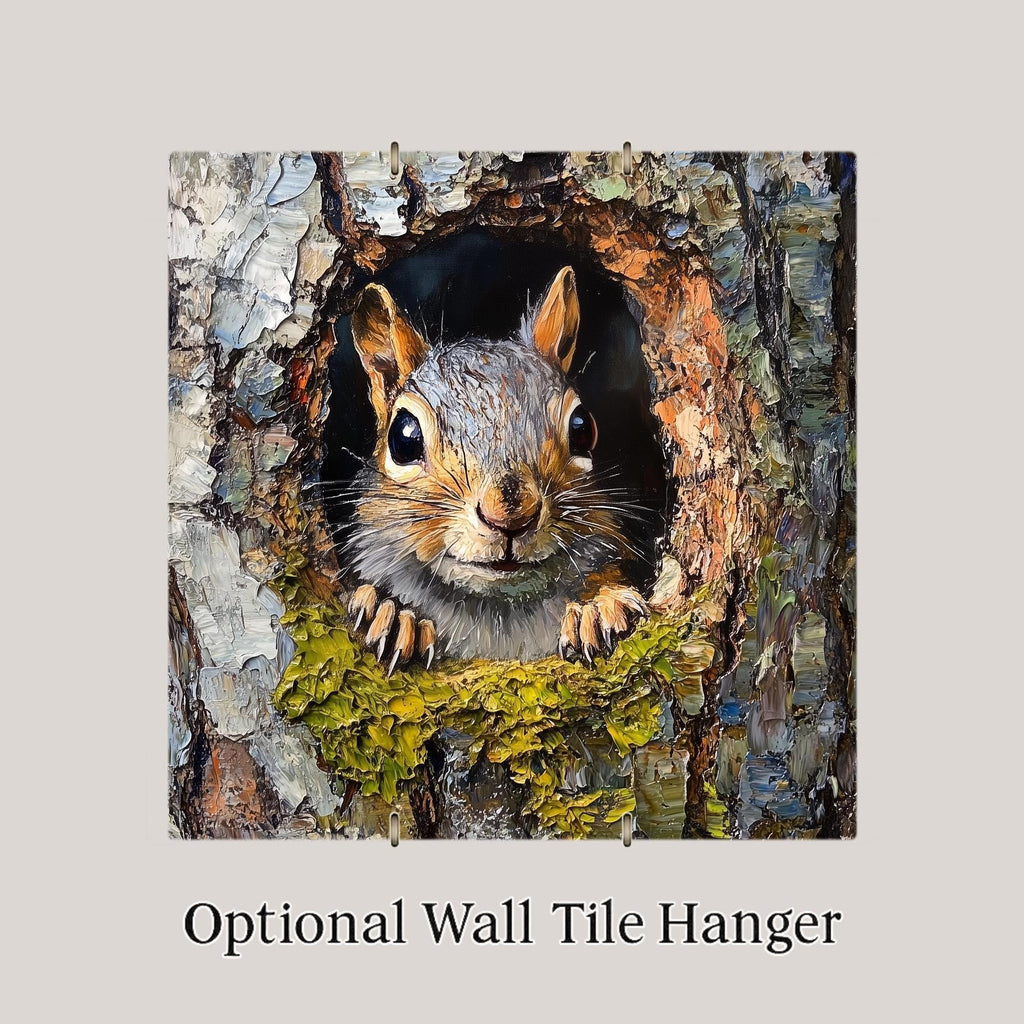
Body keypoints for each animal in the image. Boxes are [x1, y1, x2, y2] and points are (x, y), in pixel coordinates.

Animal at [341, 266, 649, 672]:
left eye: (582, 428)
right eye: (403, 438)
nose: (509, 517)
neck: (499, 609)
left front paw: (598, 607)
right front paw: (391, 614)